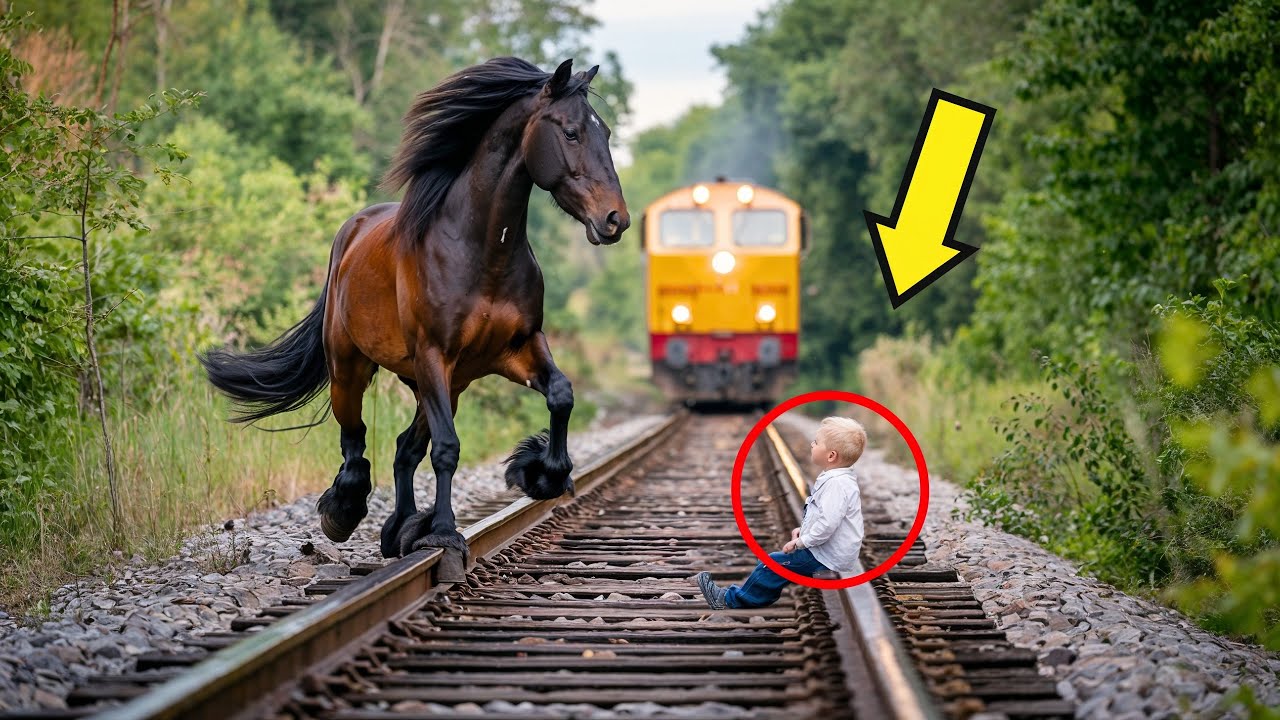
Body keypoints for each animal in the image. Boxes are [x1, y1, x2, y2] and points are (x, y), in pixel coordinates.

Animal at [200, 57, 629, 562]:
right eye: (571, 132)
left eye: (605, 133)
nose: (615, 220)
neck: (480, 250)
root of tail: (351, 232)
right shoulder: (433, 354)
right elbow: (446, 448)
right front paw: (444, 532)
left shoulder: (517, 348)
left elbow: (561, 395)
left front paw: (542, 474)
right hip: (354, 366)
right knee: (355, 437)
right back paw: (345, 510)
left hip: (444, 383)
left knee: (405, 446)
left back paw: (402, 527)